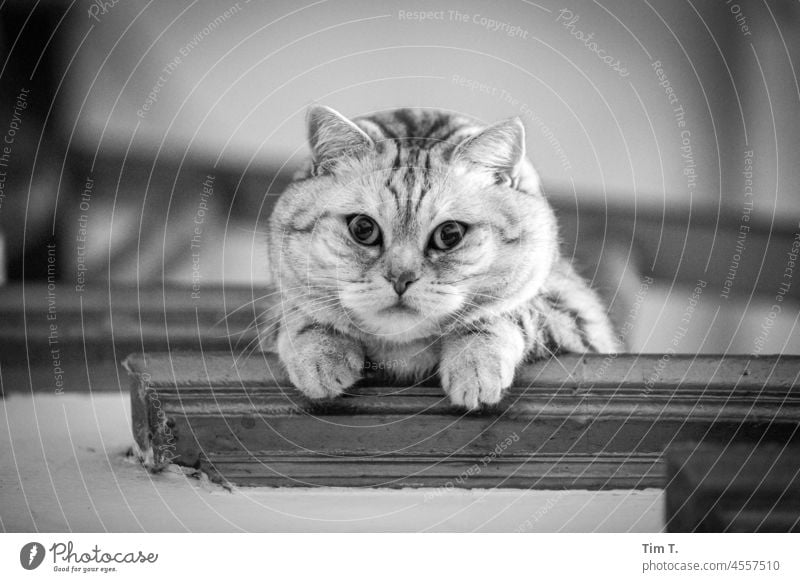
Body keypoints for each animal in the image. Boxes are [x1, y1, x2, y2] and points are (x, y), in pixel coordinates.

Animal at [262, 106, 620, 410]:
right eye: (363, 228)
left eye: (450, 234)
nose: (400, 279)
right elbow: (301, 313)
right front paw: (321, 354)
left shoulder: (576, 319)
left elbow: (504, 314)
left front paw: (475, 365)